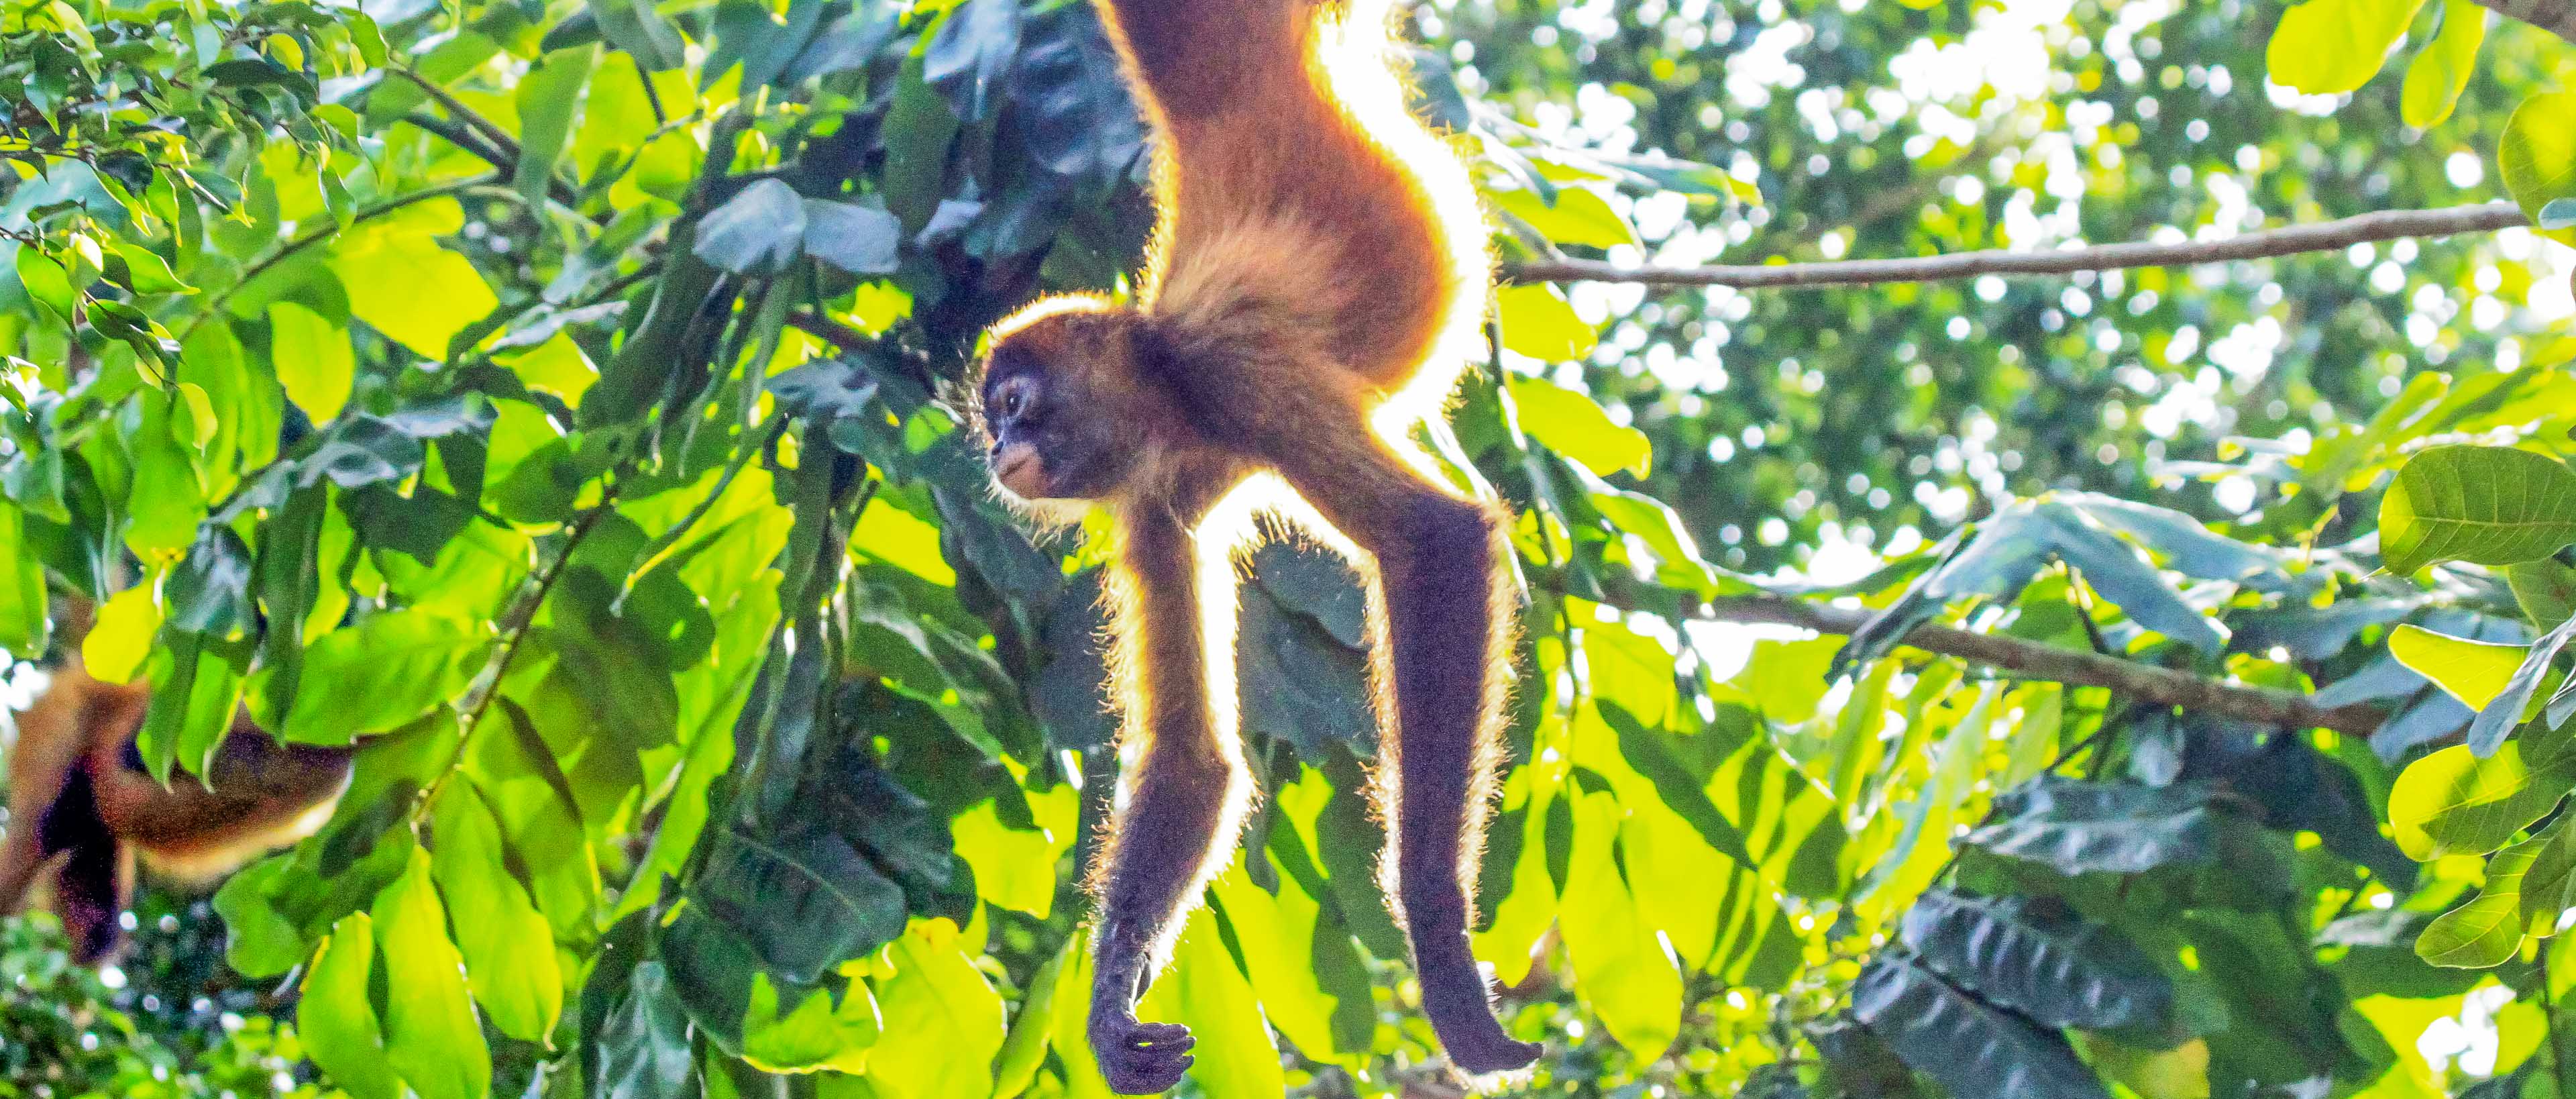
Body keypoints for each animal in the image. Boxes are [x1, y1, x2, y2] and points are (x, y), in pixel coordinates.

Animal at [969, 0, 1539, 1090]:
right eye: (991, 420)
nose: (996, 450)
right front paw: (1112, 1009)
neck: (1171, 391)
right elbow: (1197, 758)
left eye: (1016, 405)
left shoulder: (1233, 363)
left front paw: (1439, 945)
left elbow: (1436, 541)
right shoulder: (1151, 506)